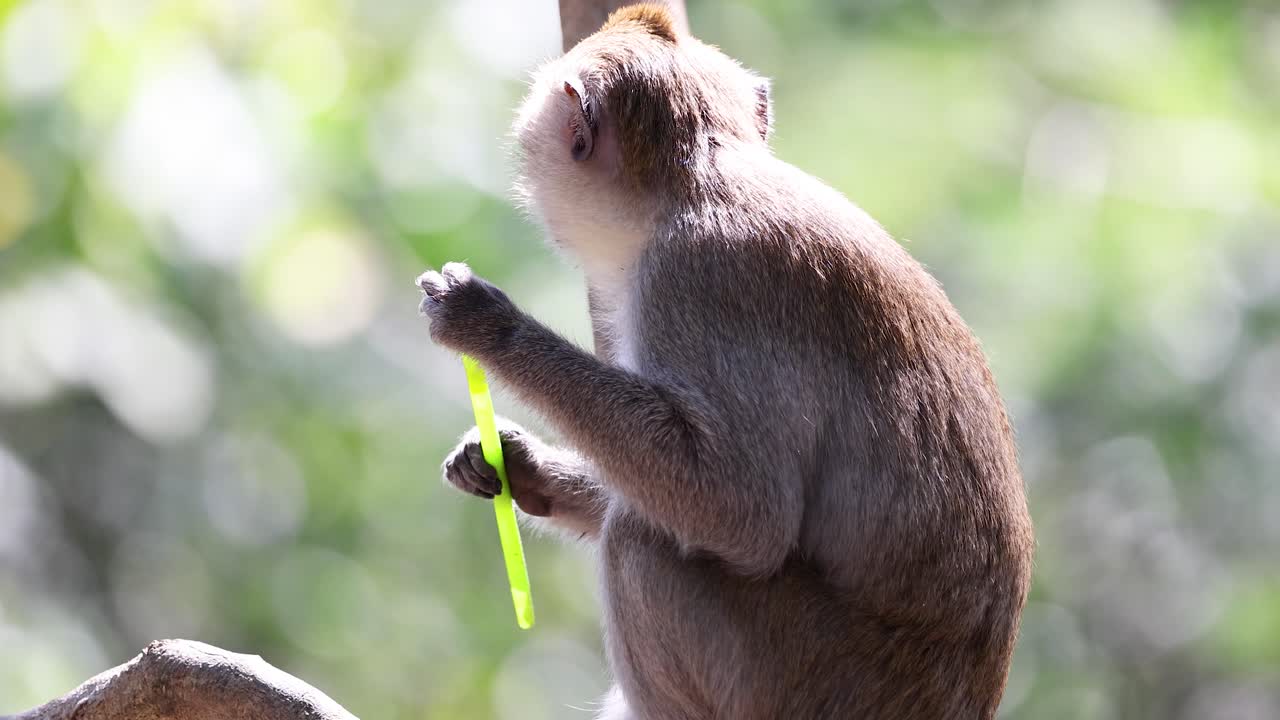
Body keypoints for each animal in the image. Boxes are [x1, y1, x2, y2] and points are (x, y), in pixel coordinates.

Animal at [419, 5, 1034, 719]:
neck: (707, 173)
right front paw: (513, 462)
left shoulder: (693, 279)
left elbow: (739, 510)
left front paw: (488, 327)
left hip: (798, 679)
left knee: (640, 542)